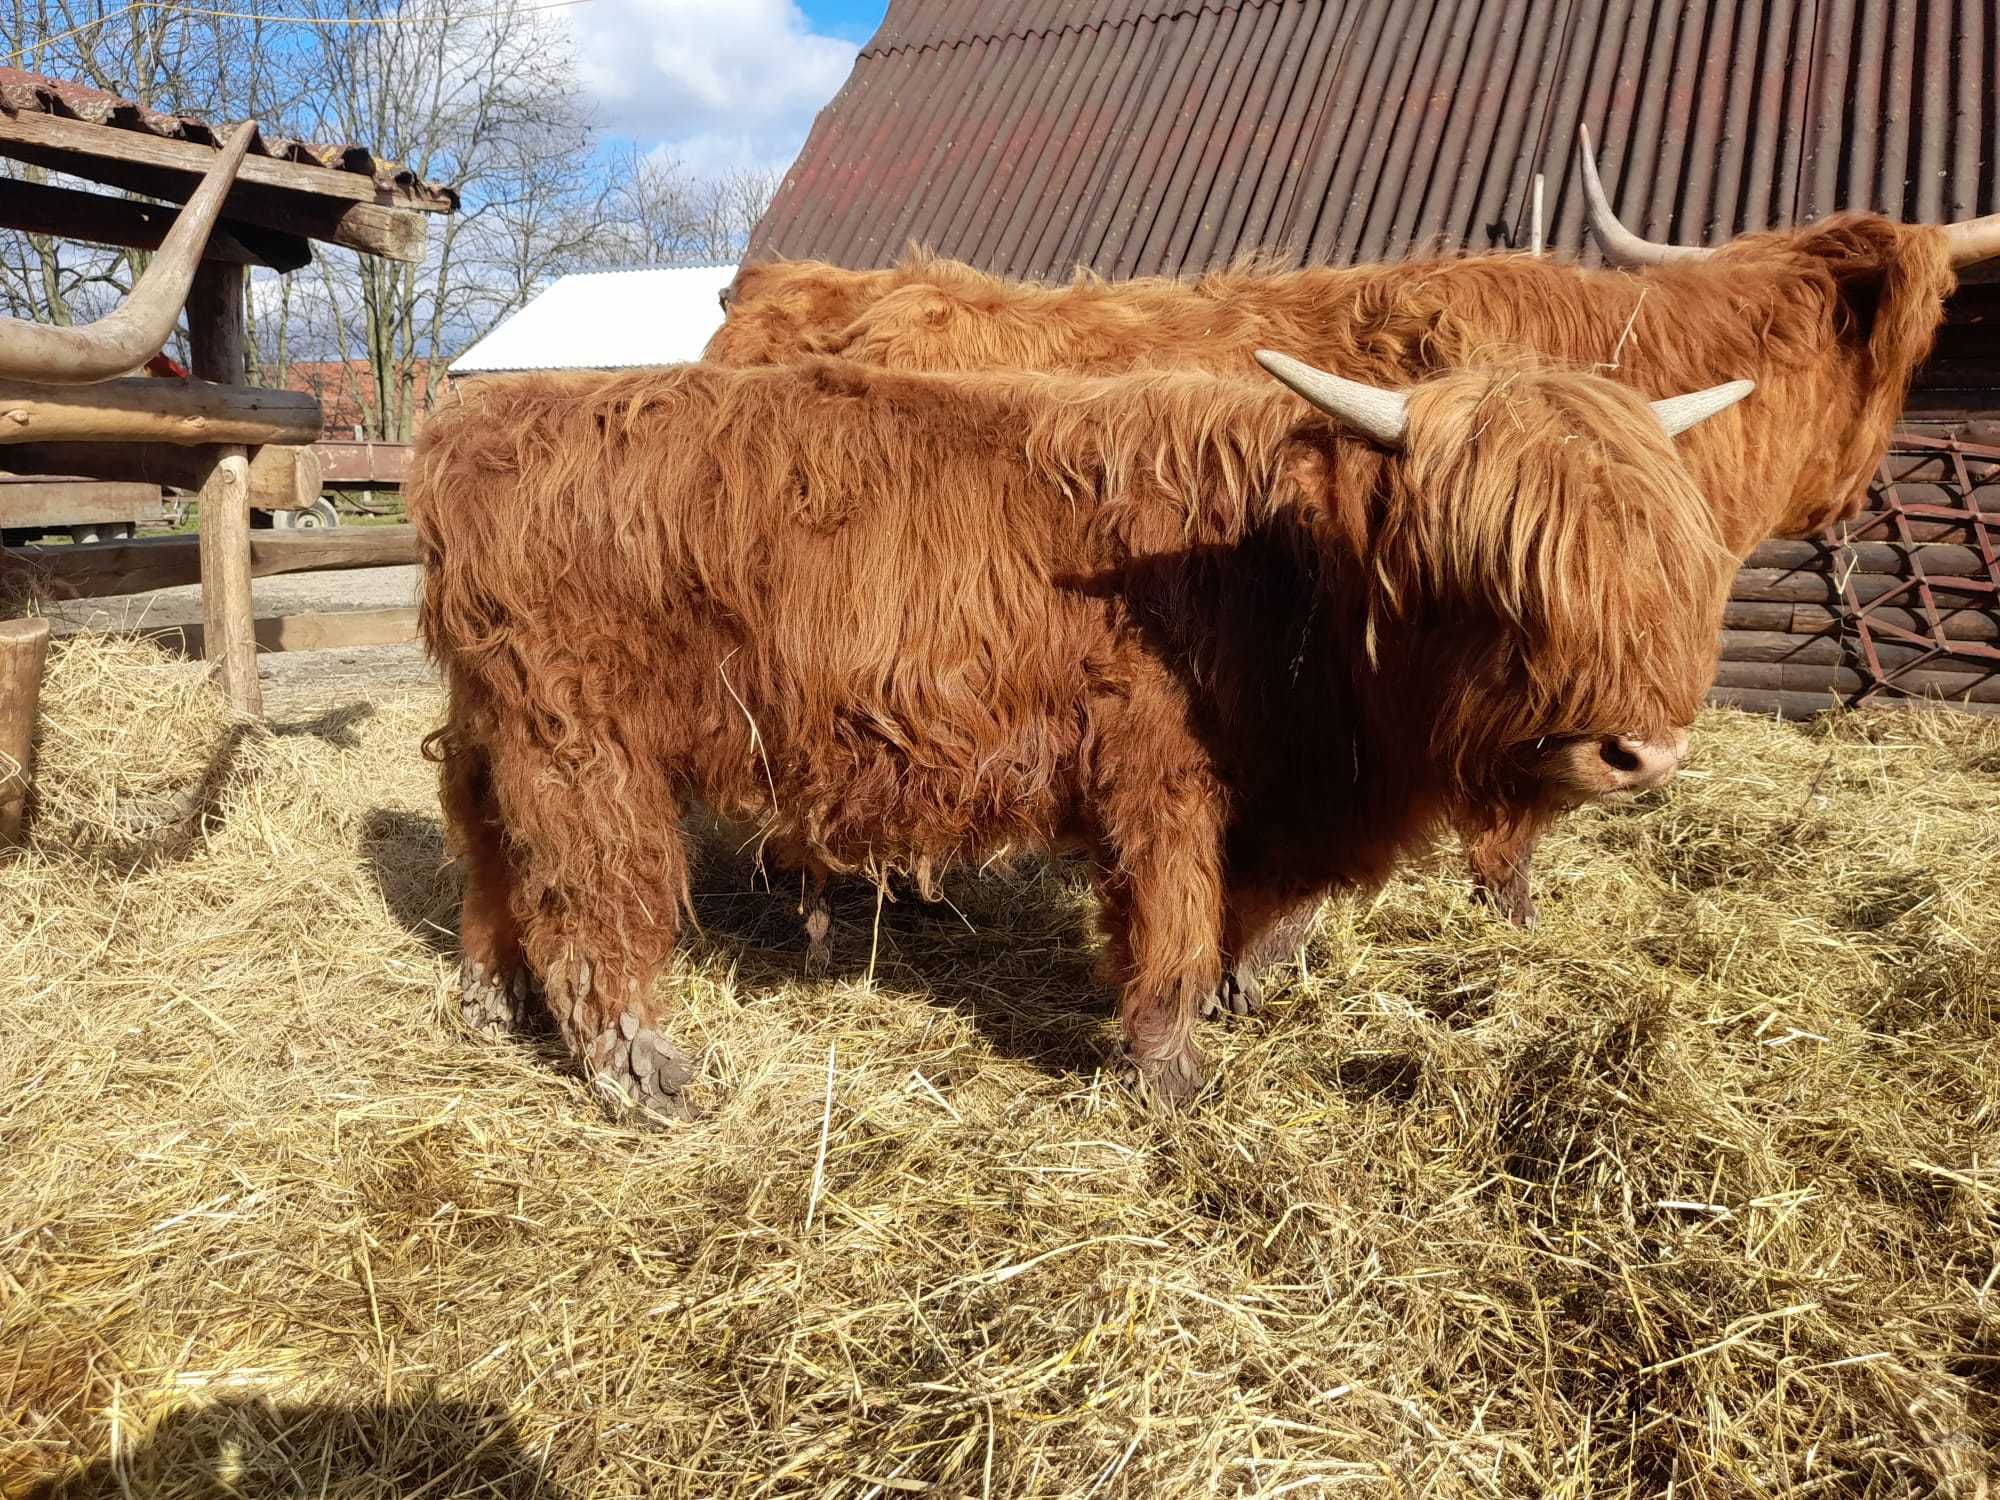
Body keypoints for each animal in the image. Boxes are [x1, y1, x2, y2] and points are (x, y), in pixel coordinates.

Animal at [410, 352, 1752, 1120]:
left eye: (1659, 562)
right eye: (1499, 565)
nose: (1636, 752)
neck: (1281, 574)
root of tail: (483, 418)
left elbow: (1251, 922)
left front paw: (1238, 996)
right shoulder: (1157, 776)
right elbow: (1171, 922)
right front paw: (1167, 1079)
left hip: (496, 722)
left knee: (482, 843)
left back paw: (487, 999)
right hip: (579, 742)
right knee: (591, 904)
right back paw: (644, 1077)